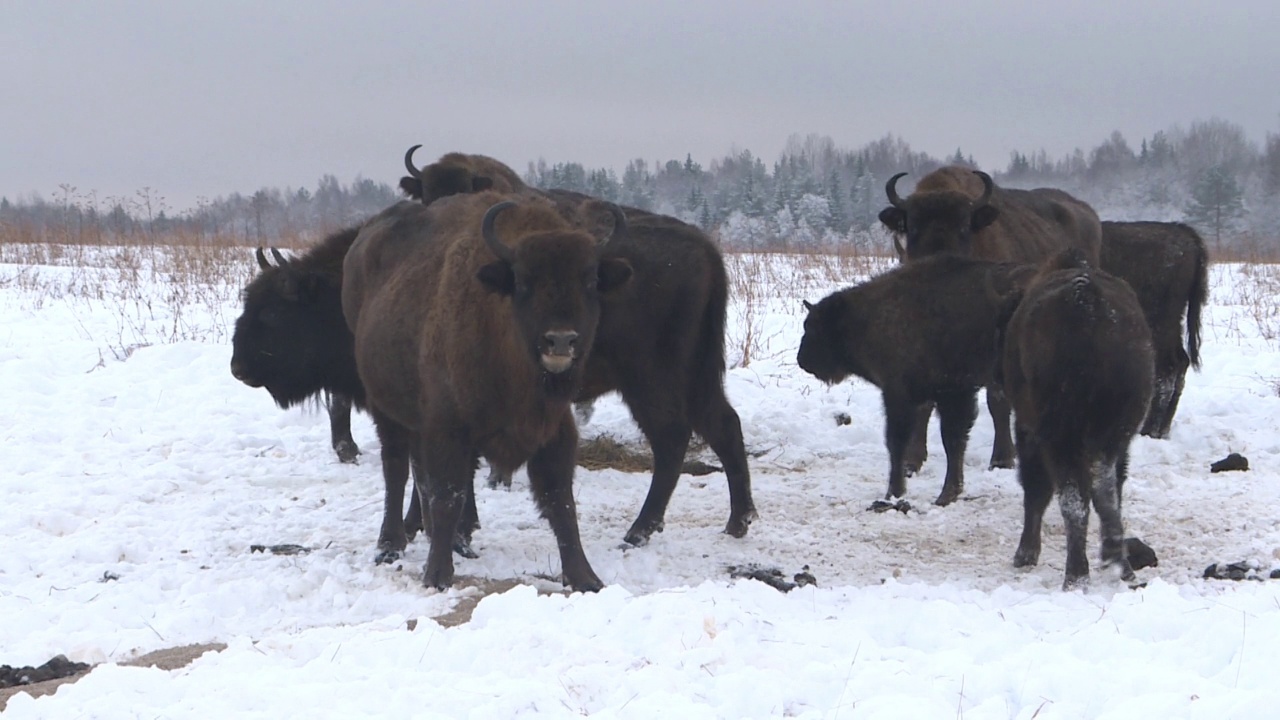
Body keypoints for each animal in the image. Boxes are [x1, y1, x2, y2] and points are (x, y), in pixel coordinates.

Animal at [343, 192, 632, 589]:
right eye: (523, 280)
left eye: (589, 279)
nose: (560, 340)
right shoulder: (447, 428)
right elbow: (448, 495)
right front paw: (437, 575)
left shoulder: (554, 430)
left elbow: (561, 501)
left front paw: (585, 577)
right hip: (386, 408)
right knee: (397, 469)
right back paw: (390, 546)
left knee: (418, 472)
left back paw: (446, 540)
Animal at [880, 167, 1111, 479]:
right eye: (912, 228)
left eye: (963, 228)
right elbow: (925, 403)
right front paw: (911, 461)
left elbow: (997, 400)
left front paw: (1002, 459)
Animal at [993, 249, 1157, 586]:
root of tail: (1086, 303)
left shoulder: (1028, 429)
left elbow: (1036, 488)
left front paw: (1025, 555)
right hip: (1113, 431)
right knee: (1105, 488)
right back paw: (1118, 562)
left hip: (1060, 434)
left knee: (1072, 498)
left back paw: (1076, 575)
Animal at [1100, 220, 1208, 438]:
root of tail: (1183, 230)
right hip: (1173, 324)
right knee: (1180, 363)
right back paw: (1162, 429)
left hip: (1159, 323)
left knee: (1168, 368)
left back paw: (1149, 430)